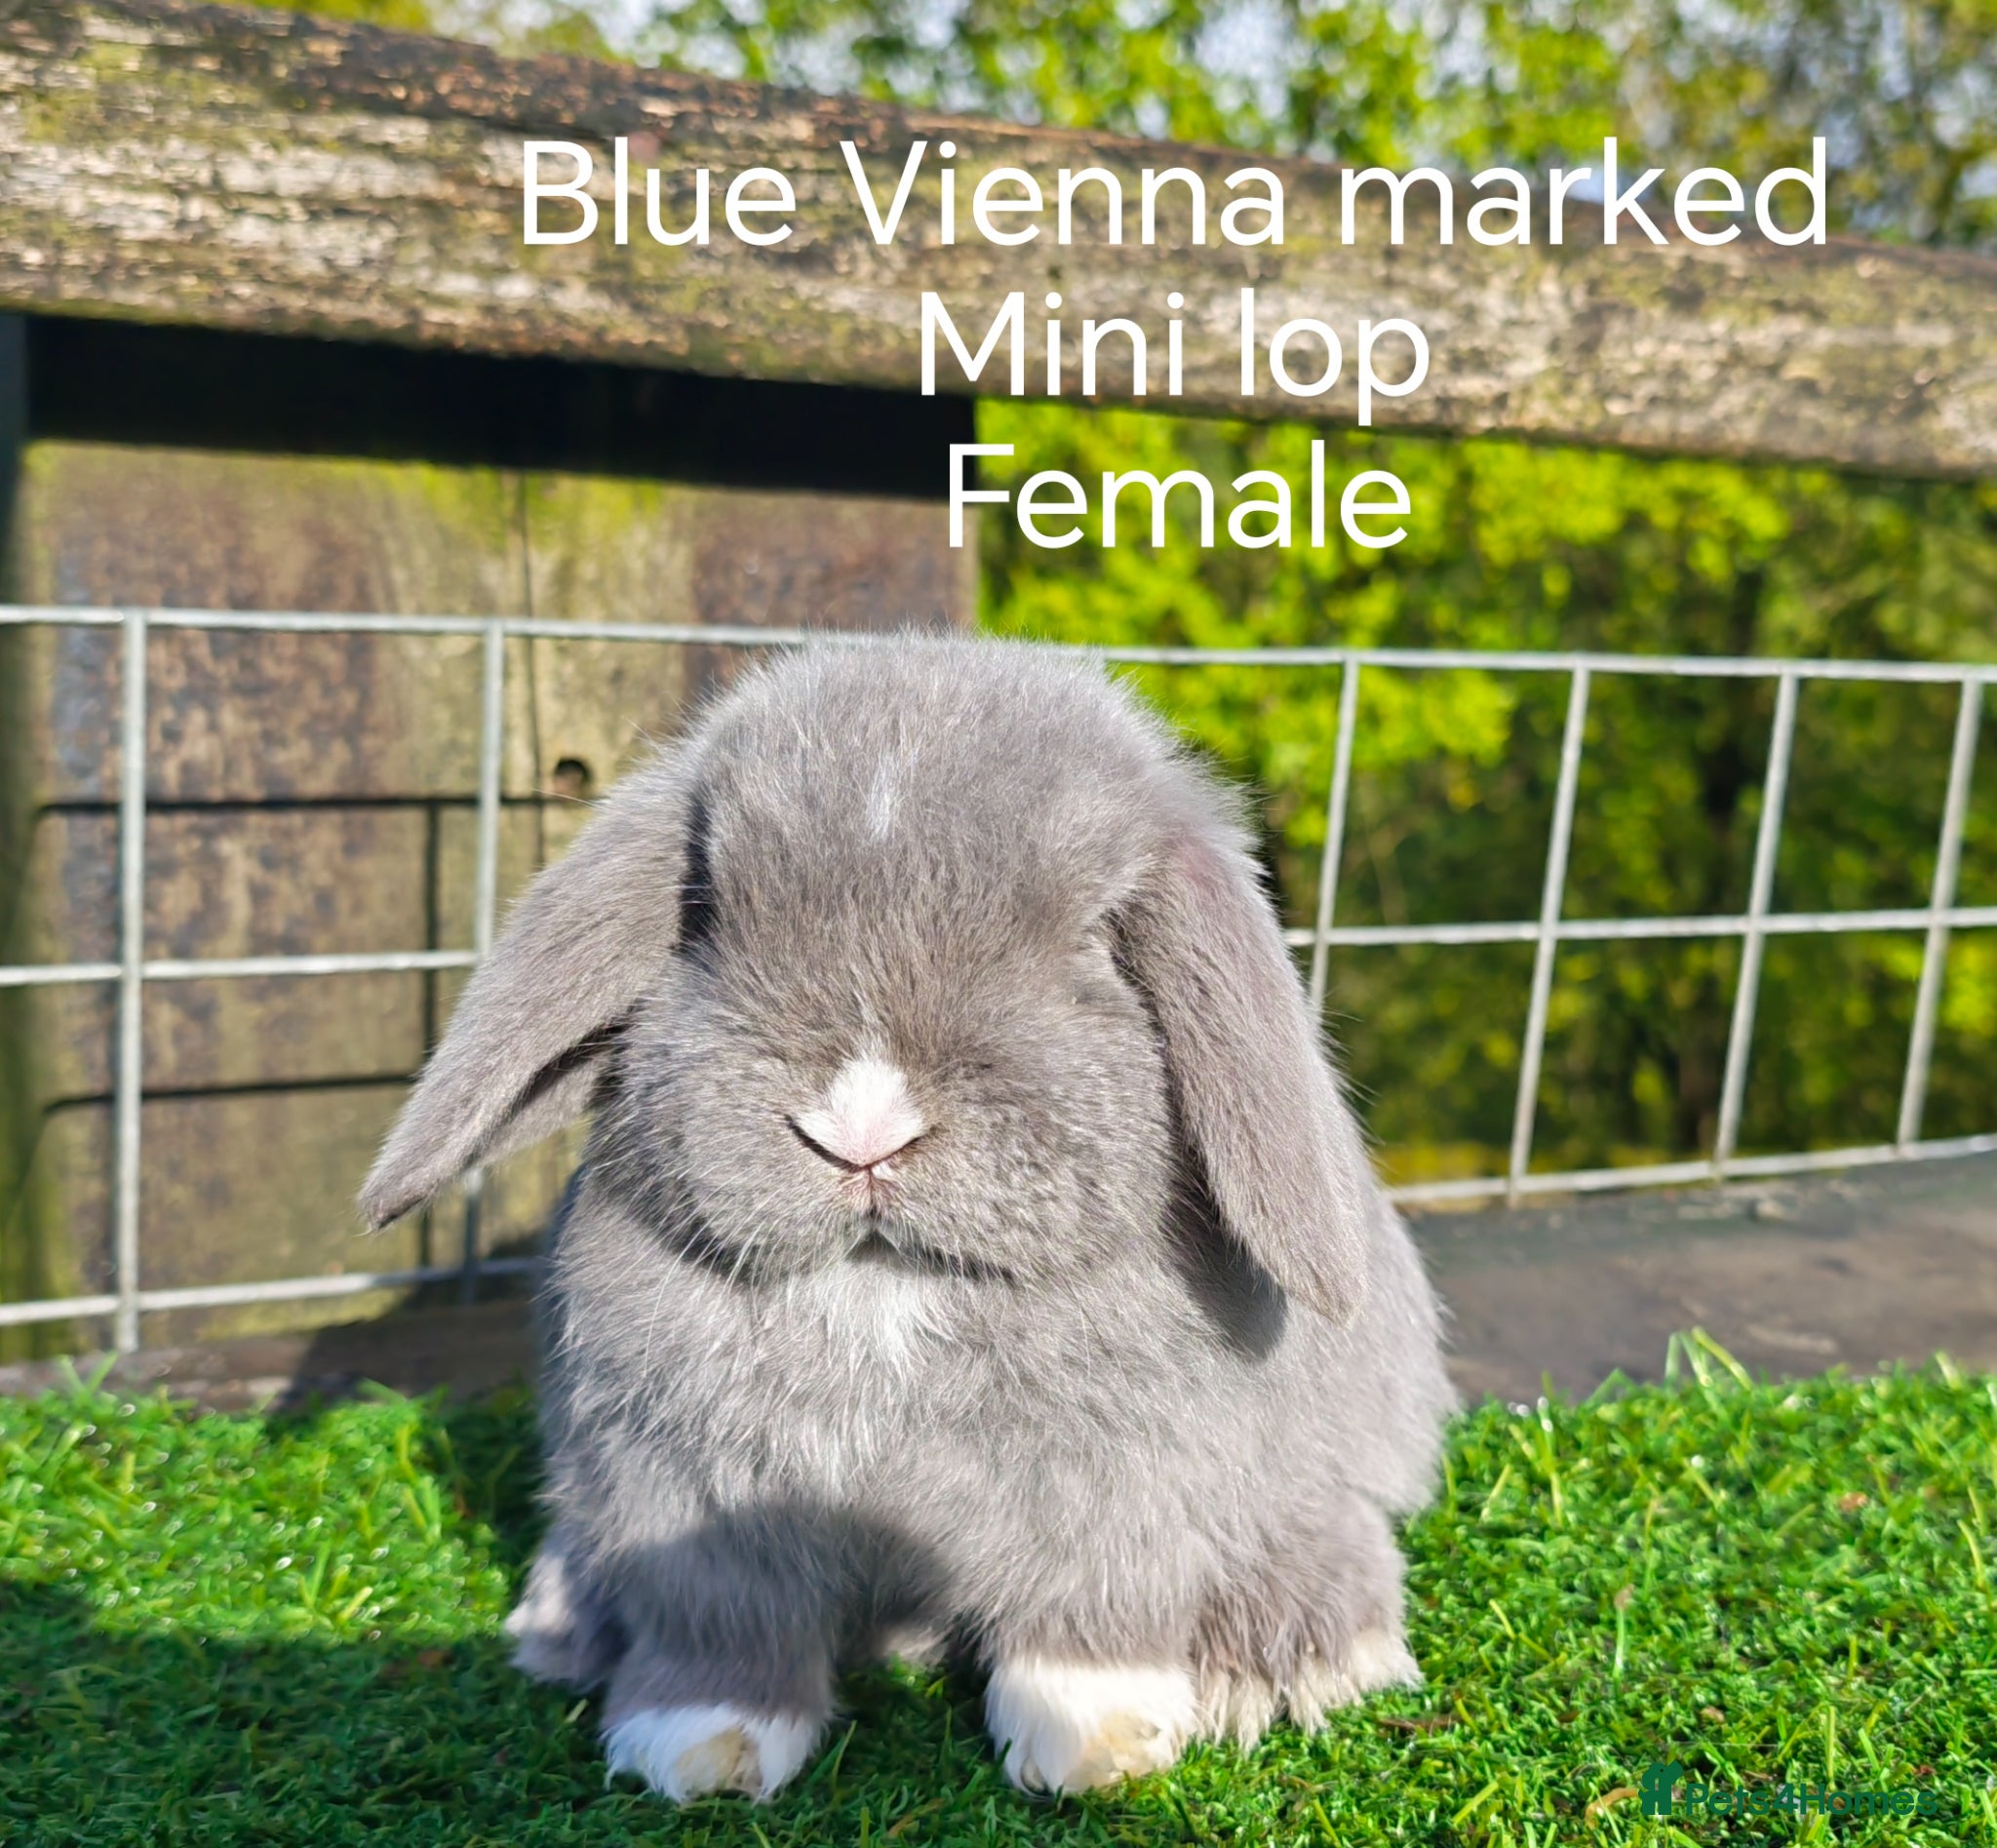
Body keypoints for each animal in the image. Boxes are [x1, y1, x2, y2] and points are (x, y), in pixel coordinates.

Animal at [360, 635, 1455, 1803]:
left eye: (1096, 939)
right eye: (703, 913)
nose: (863, 1126)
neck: (883, 1291)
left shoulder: (1120, 1493)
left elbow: (1090, 1621)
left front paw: (1093, 1746)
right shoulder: (679, 1496)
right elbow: (720, 1631)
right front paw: (696, 1753)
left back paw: (1298, 1659)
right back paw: (562, 1624)